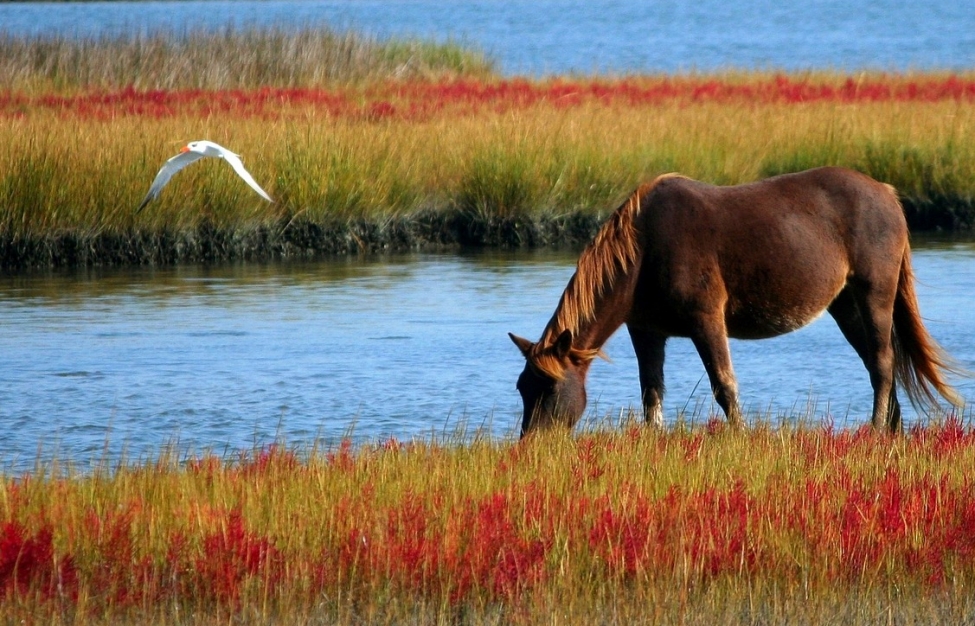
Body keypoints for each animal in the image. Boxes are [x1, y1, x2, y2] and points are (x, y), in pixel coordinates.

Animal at [510, 165, 960, 434]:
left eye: (549, 388)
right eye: (522, 387)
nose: (532, 445)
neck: (643, 250)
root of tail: (887, 193)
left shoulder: (706, 319)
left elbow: (724, 385)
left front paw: (739, 436)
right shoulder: (646, 330)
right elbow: (651, 392)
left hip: (874, 294)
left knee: (883, 363)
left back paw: (876, 429)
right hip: (845, 305)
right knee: (877, 363)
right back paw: (891, 430)